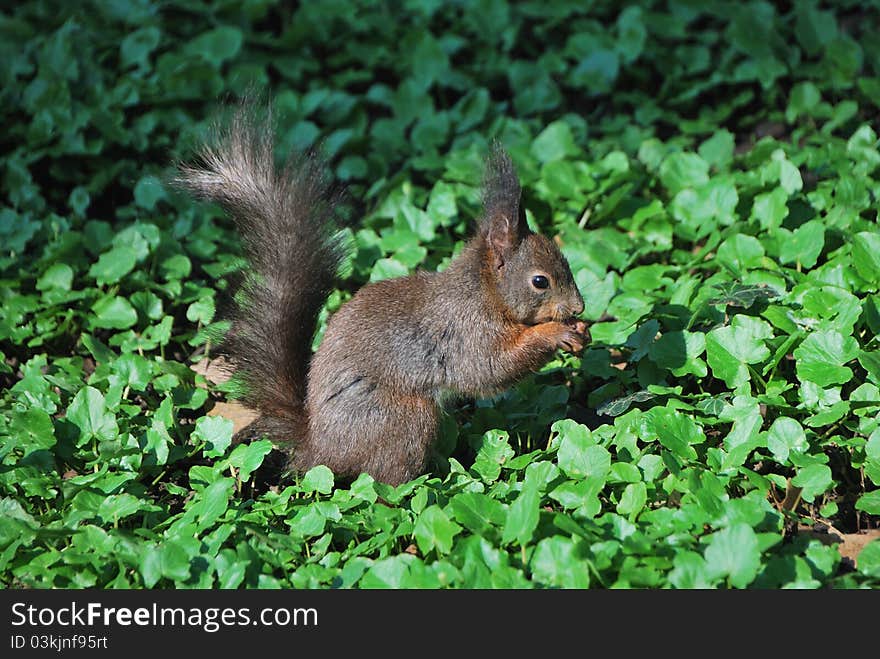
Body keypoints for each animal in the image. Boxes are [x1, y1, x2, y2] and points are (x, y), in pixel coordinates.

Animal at [177, 103, 592, 484]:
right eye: (540, 281)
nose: (579, 306)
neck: (483, 292)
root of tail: (317, 448)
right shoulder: (466, 332)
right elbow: (491, 368)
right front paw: (556, 333)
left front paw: (582, 331)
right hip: (402, 418)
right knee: (382, 483)